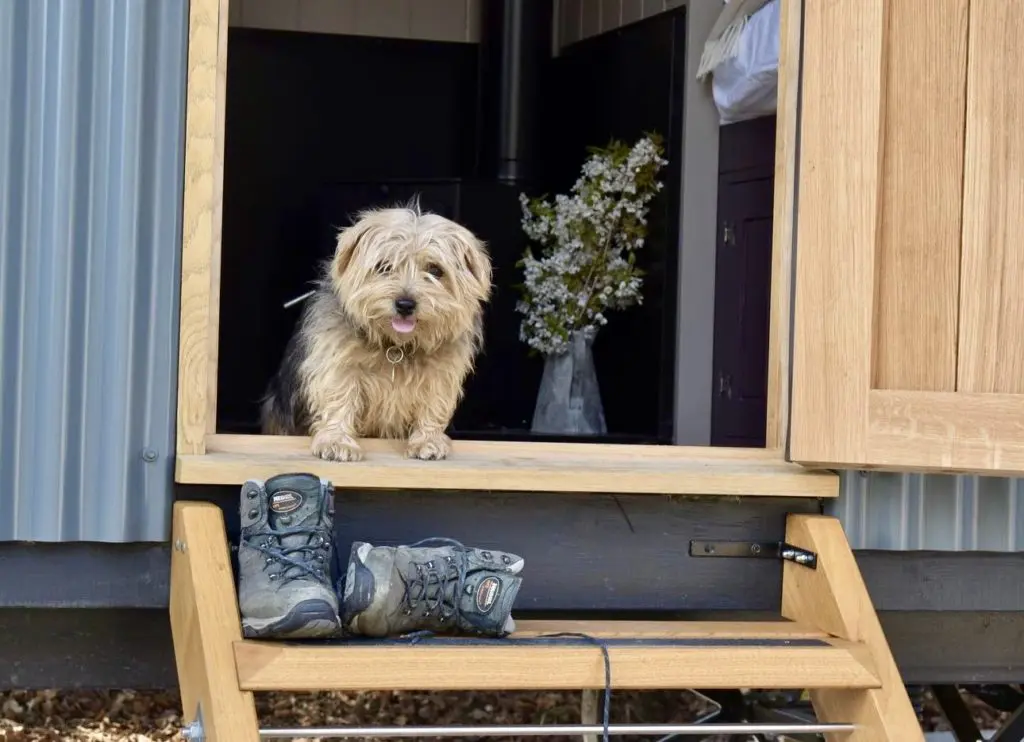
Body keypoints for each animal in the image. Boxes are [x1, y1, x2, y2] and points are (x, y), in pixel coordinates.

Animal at [260, 199, 491, 460]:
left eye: (435, 270)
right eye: (384, 266)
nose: (405, 304)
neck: (396, 346)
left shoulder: (440, 374)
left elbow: (433, 405)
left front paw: (427, 440)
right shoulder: (338, 366)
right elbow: (339, 397)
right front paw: (337, 441)